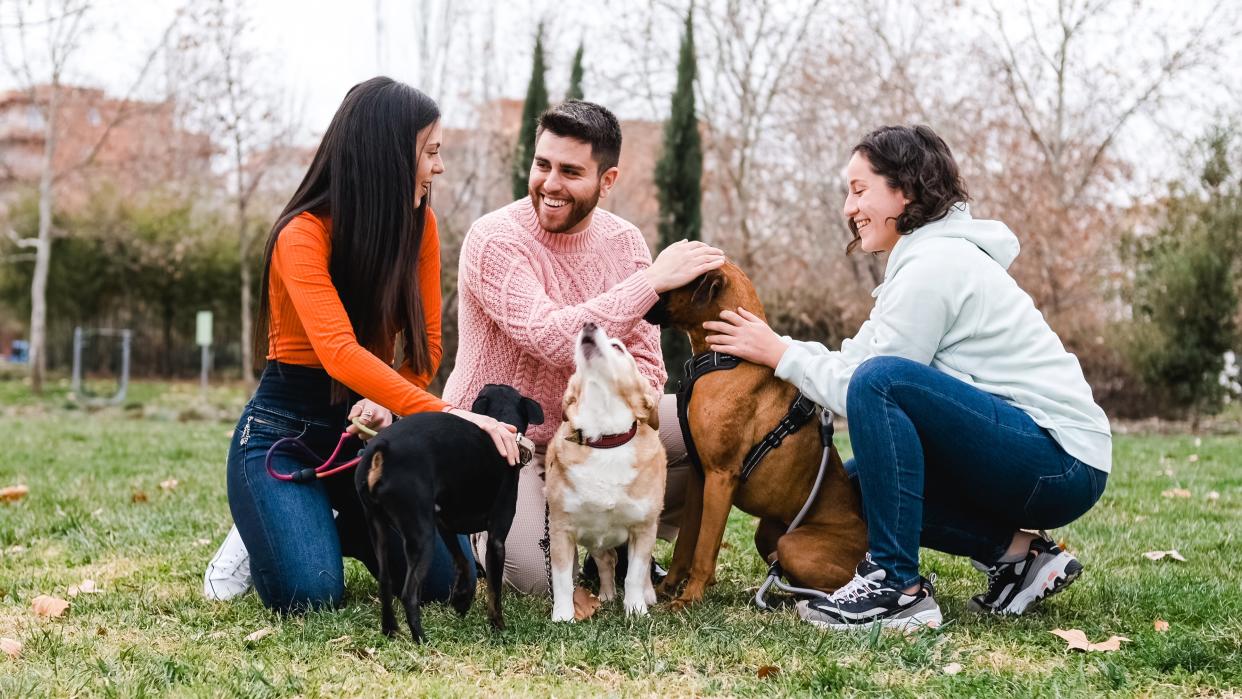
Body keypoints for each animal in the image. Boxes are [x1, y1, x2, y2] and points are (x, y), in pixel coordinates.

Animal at [352, 384, 541, 640]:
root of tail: (383, 450)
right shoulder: (496, 540)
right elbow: (494, 591)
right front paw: (498, 627)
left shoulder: (446, 525)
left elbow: (463, 562)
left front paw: (462, 601)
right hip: (422, 536)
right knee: (409, 593)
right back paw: (421, 639)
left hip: (378, 527)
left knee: (385, 582)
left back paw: (391, 630)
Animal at [548, 320, 670, 620]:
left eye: (618, 347)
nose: (588, 323)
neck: (605, 438)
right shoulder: (561, 531)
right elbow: (562, 580)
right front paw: (563, 616)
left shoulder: (643, 528)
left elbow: (635, 575)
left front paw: (636, 610)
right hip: (594, 540)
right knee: (607, 560)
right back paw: (605, 595)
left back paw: (646, 595)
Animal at [645, 259, 869, 610]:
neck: (729, 358)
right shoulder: (700, 476)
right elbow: (686, 544)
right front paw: (669, 588)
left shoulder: (721, 477)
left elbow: (704, 548)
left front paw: (690, 597)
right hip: (767, 534)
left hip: (792, 545)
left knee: (825, 585)